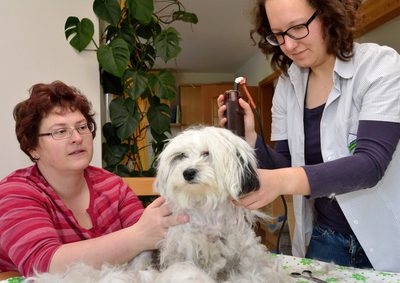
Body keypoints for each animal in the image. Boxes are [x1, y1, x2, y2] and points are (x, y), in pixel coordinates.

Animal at [26, 127, 292, 283]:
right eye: (181, 156)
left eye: (207, 154)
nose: (188, 172)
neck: (206, 213)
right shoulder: (183, 252)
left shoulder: (240, 250)